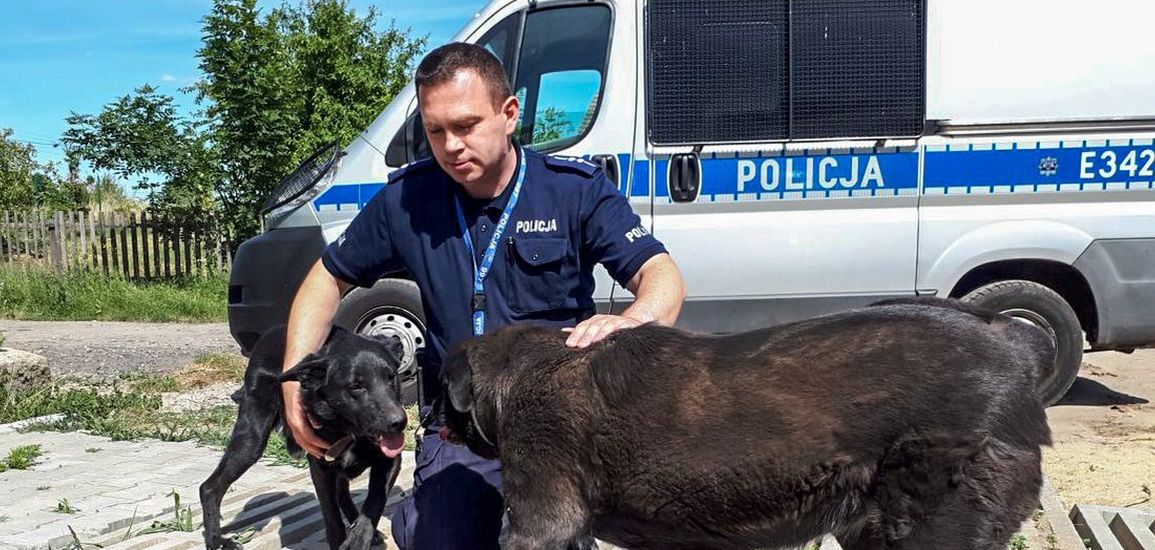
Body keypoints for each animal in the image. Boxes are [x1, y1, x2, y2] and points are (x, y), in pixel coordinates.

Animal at [200, 325, 408, 550]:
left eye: (391, 377)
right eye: (356, 386)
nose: (399, 422)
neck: (348, 431)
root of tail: (271, 332)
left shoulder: (390, 460)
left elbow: (374, 502)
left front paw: (358, 538)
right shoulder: (319, 466)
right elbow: (332, 518)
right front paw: (343, 540)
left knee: (342, 492)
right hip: (251, 440)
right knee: (209, 488)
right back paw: (216, 540)